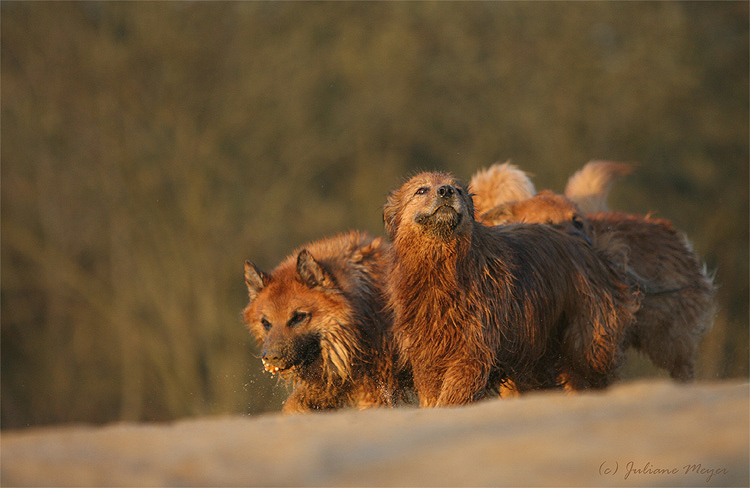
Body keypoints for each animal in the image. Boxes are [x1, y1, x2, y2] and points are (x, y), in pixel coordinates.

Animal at [245, 233, 406, 412]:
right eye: (266, 323)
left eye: (299, 317)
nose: (271, 357)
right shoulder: (327, 382)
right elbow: (292, 406)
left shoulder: (376, 388)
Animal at [384, 170, 636, 406]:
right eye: (421, 190)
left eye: (459, 189)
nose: (446, 191)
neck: (442, 266)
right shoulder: (427, 355)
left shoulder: (472, 348)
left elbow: (455, 393)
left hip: (584, 341)